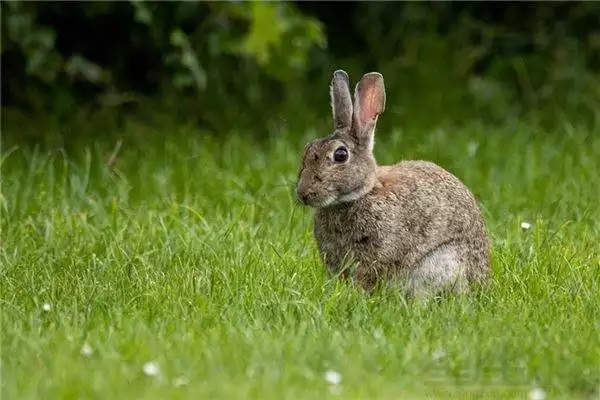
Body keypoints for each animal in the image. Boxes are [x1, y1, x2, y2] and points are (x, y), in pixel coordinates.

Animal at [294, 70, 488, 298]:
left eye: (340, 155)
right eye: (308, 149)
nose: (303, 193)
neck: (361, 194)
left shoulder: (379, 253)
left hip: (439, 264)